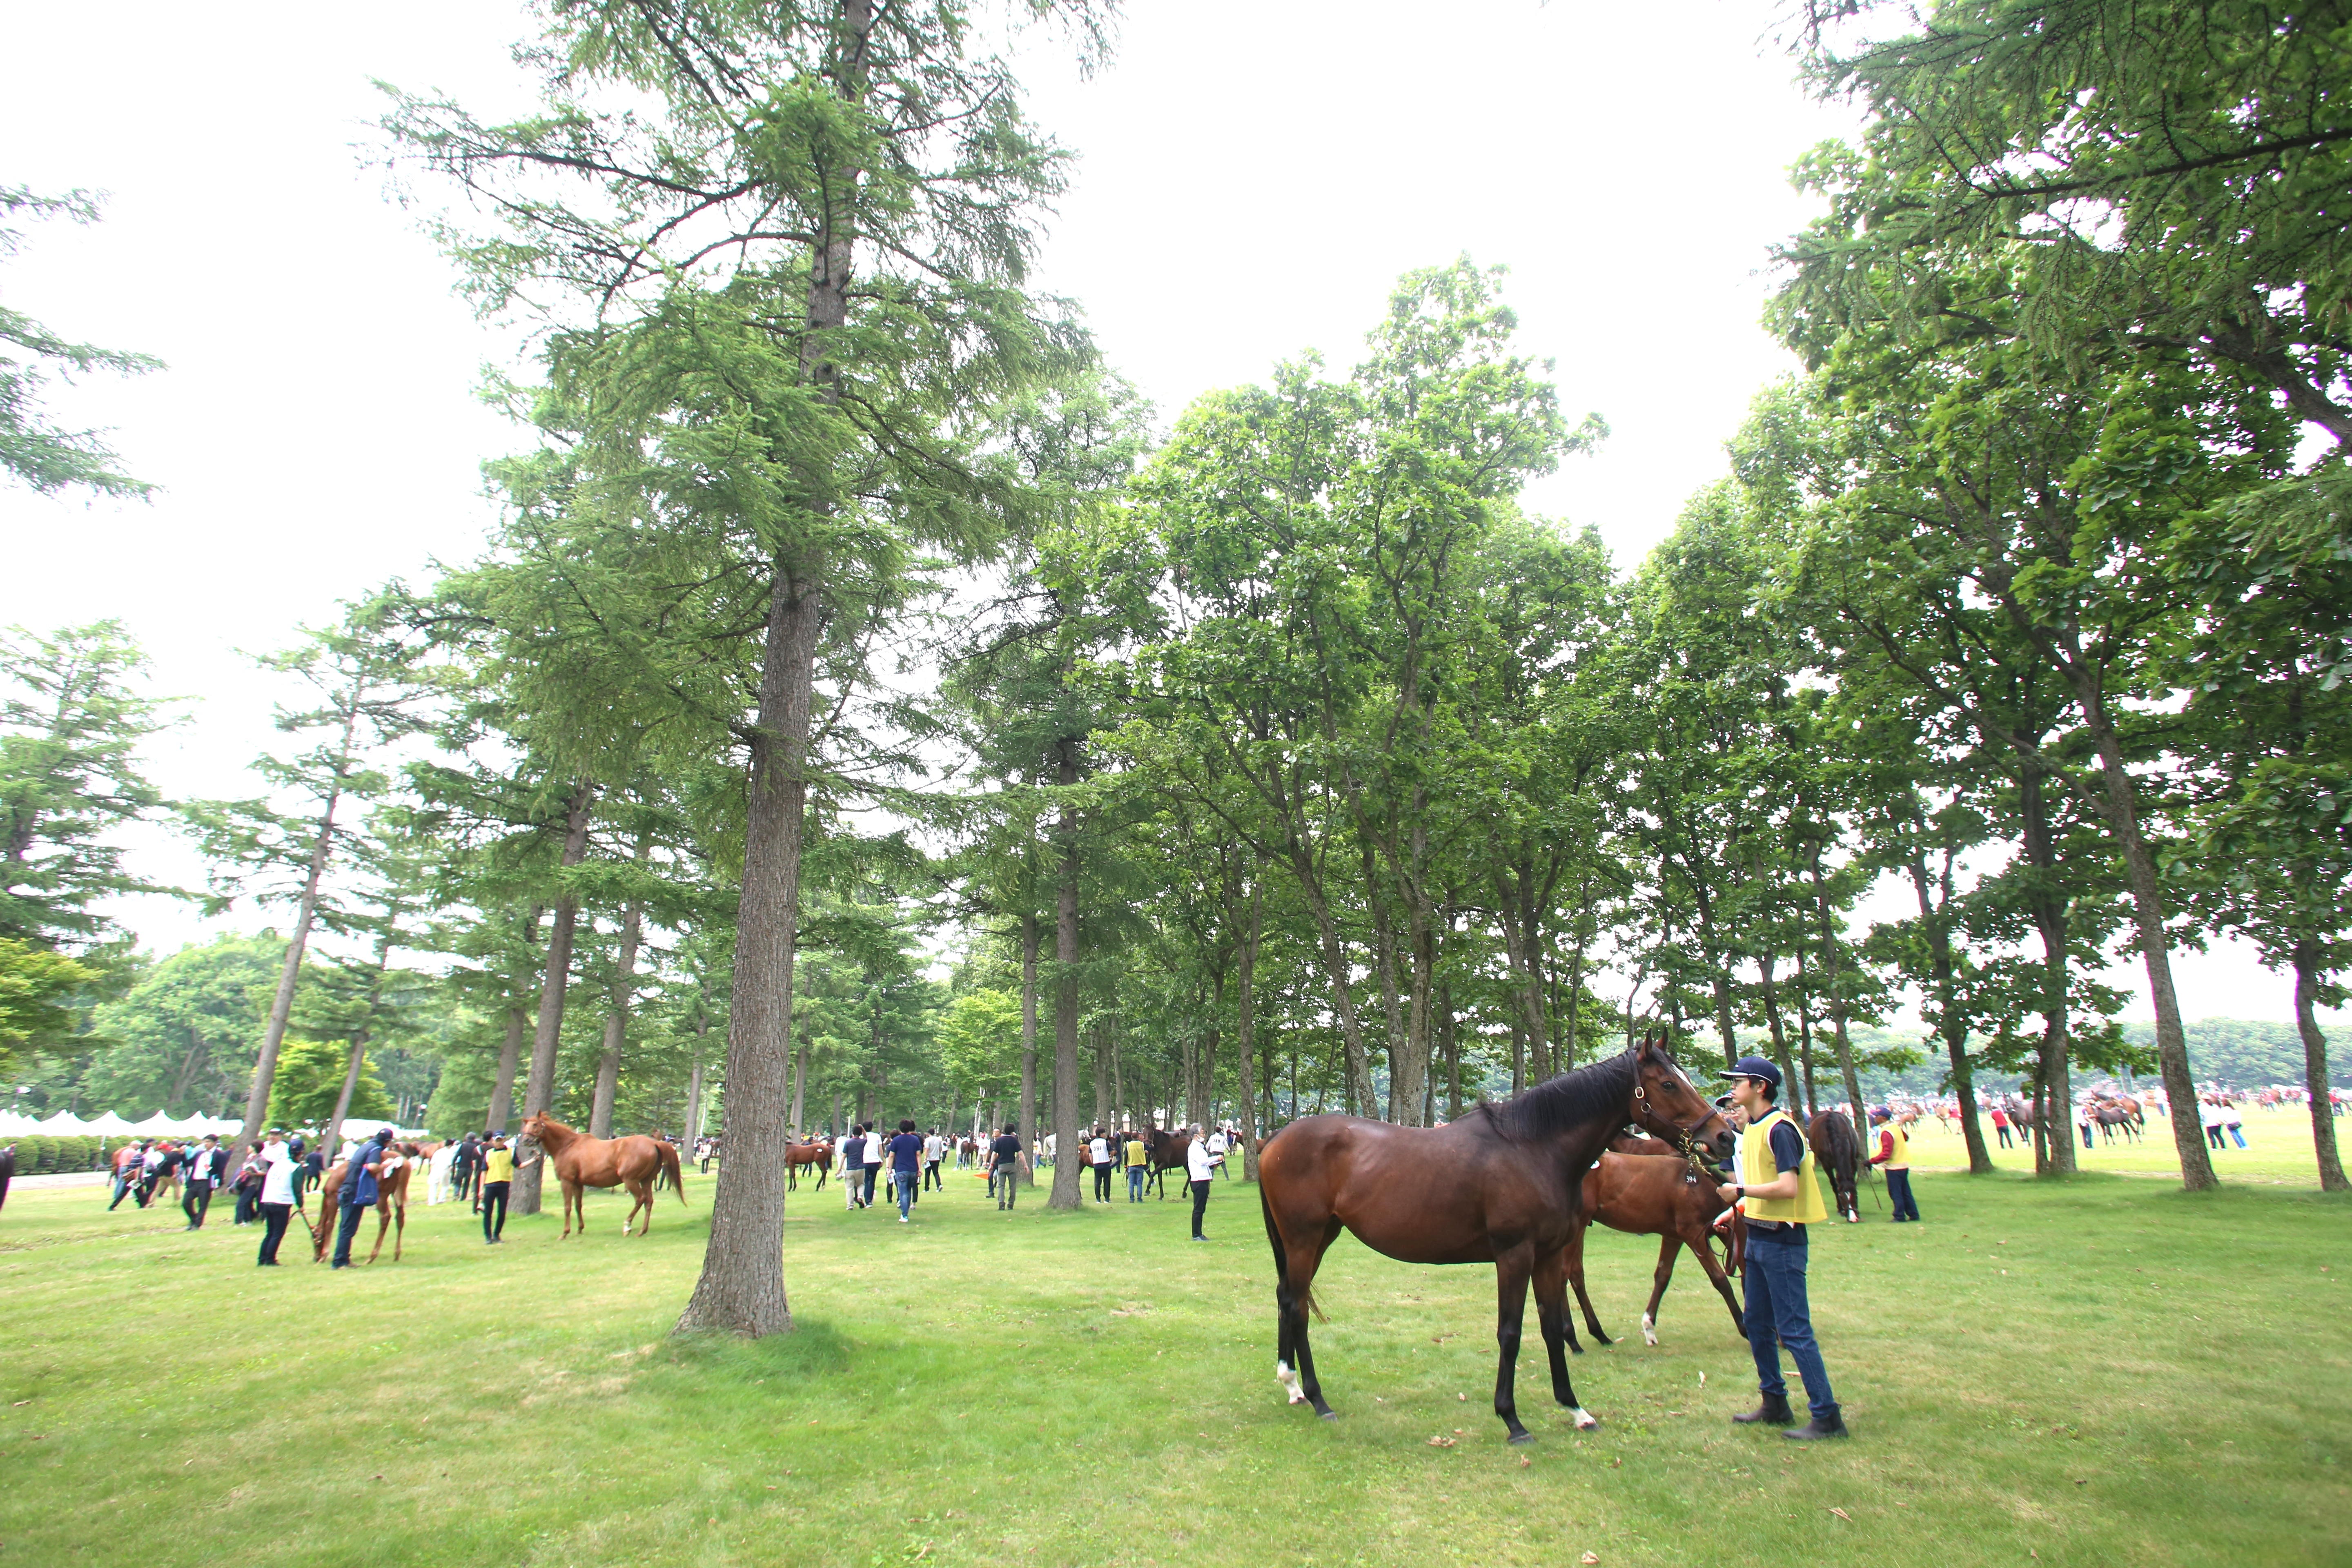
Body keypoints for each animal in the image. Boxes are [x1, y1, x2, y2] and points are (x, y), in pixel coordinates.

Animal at [310, 1147, 416, 1269]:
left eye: (314, 1240)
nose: (316, 1258)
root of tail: (403, 1163)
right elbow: (350, 1226)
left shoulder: (333, 1198)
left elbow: (330, 1224)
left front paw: (324, 1256)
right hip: (396, 1193)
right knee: (400, 1217)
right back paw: (397, 1254)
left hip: (382, 1194)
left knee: (385, 1217)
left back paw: (372, 1257)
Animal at [519, 1114, 686, 1241]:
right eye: (525, 1126)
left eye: (535, 1125)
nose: (526, 1141)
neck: (568, 1146)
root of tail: (654, 1143)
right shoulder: (578, 1184)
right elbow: (578, 1206)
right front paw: (580, 1229)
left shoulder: (567, 1181)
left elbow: (567, 1207)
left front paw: (565, 1233)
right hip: (645, 1181)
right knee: (649, 1202)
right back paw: (642, 1231)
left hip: (630, 1180)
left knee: (641, 1199)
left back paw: (627, 1226)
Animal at [1261, 1044, 1740, 1448]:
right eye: (1668, 1084)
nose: (1726, 1137)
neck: (1533, 1150)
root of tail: (1273, 1141)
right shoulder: (1515, 1255)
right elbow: (1510, 1333)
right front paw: (1512, 1420)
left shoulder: (1548, 1256)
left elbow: (1551, 1328)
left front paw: (1575, 1409)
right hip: (1304, 1240)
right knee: (1298, 1308)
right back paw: (1318, 1399)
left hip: (1320, 1238)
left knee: (1287, 1298)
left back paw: (1292, 1386)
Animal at [1806, 1109, 1862, 1222]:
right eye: (1842, 1196)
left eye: (1856, 1195)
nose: (1853, 1218)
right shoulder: (1826, 1164)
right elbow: (1835, 1185)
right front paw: (1841, 1209)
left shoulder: (1853, 1162)